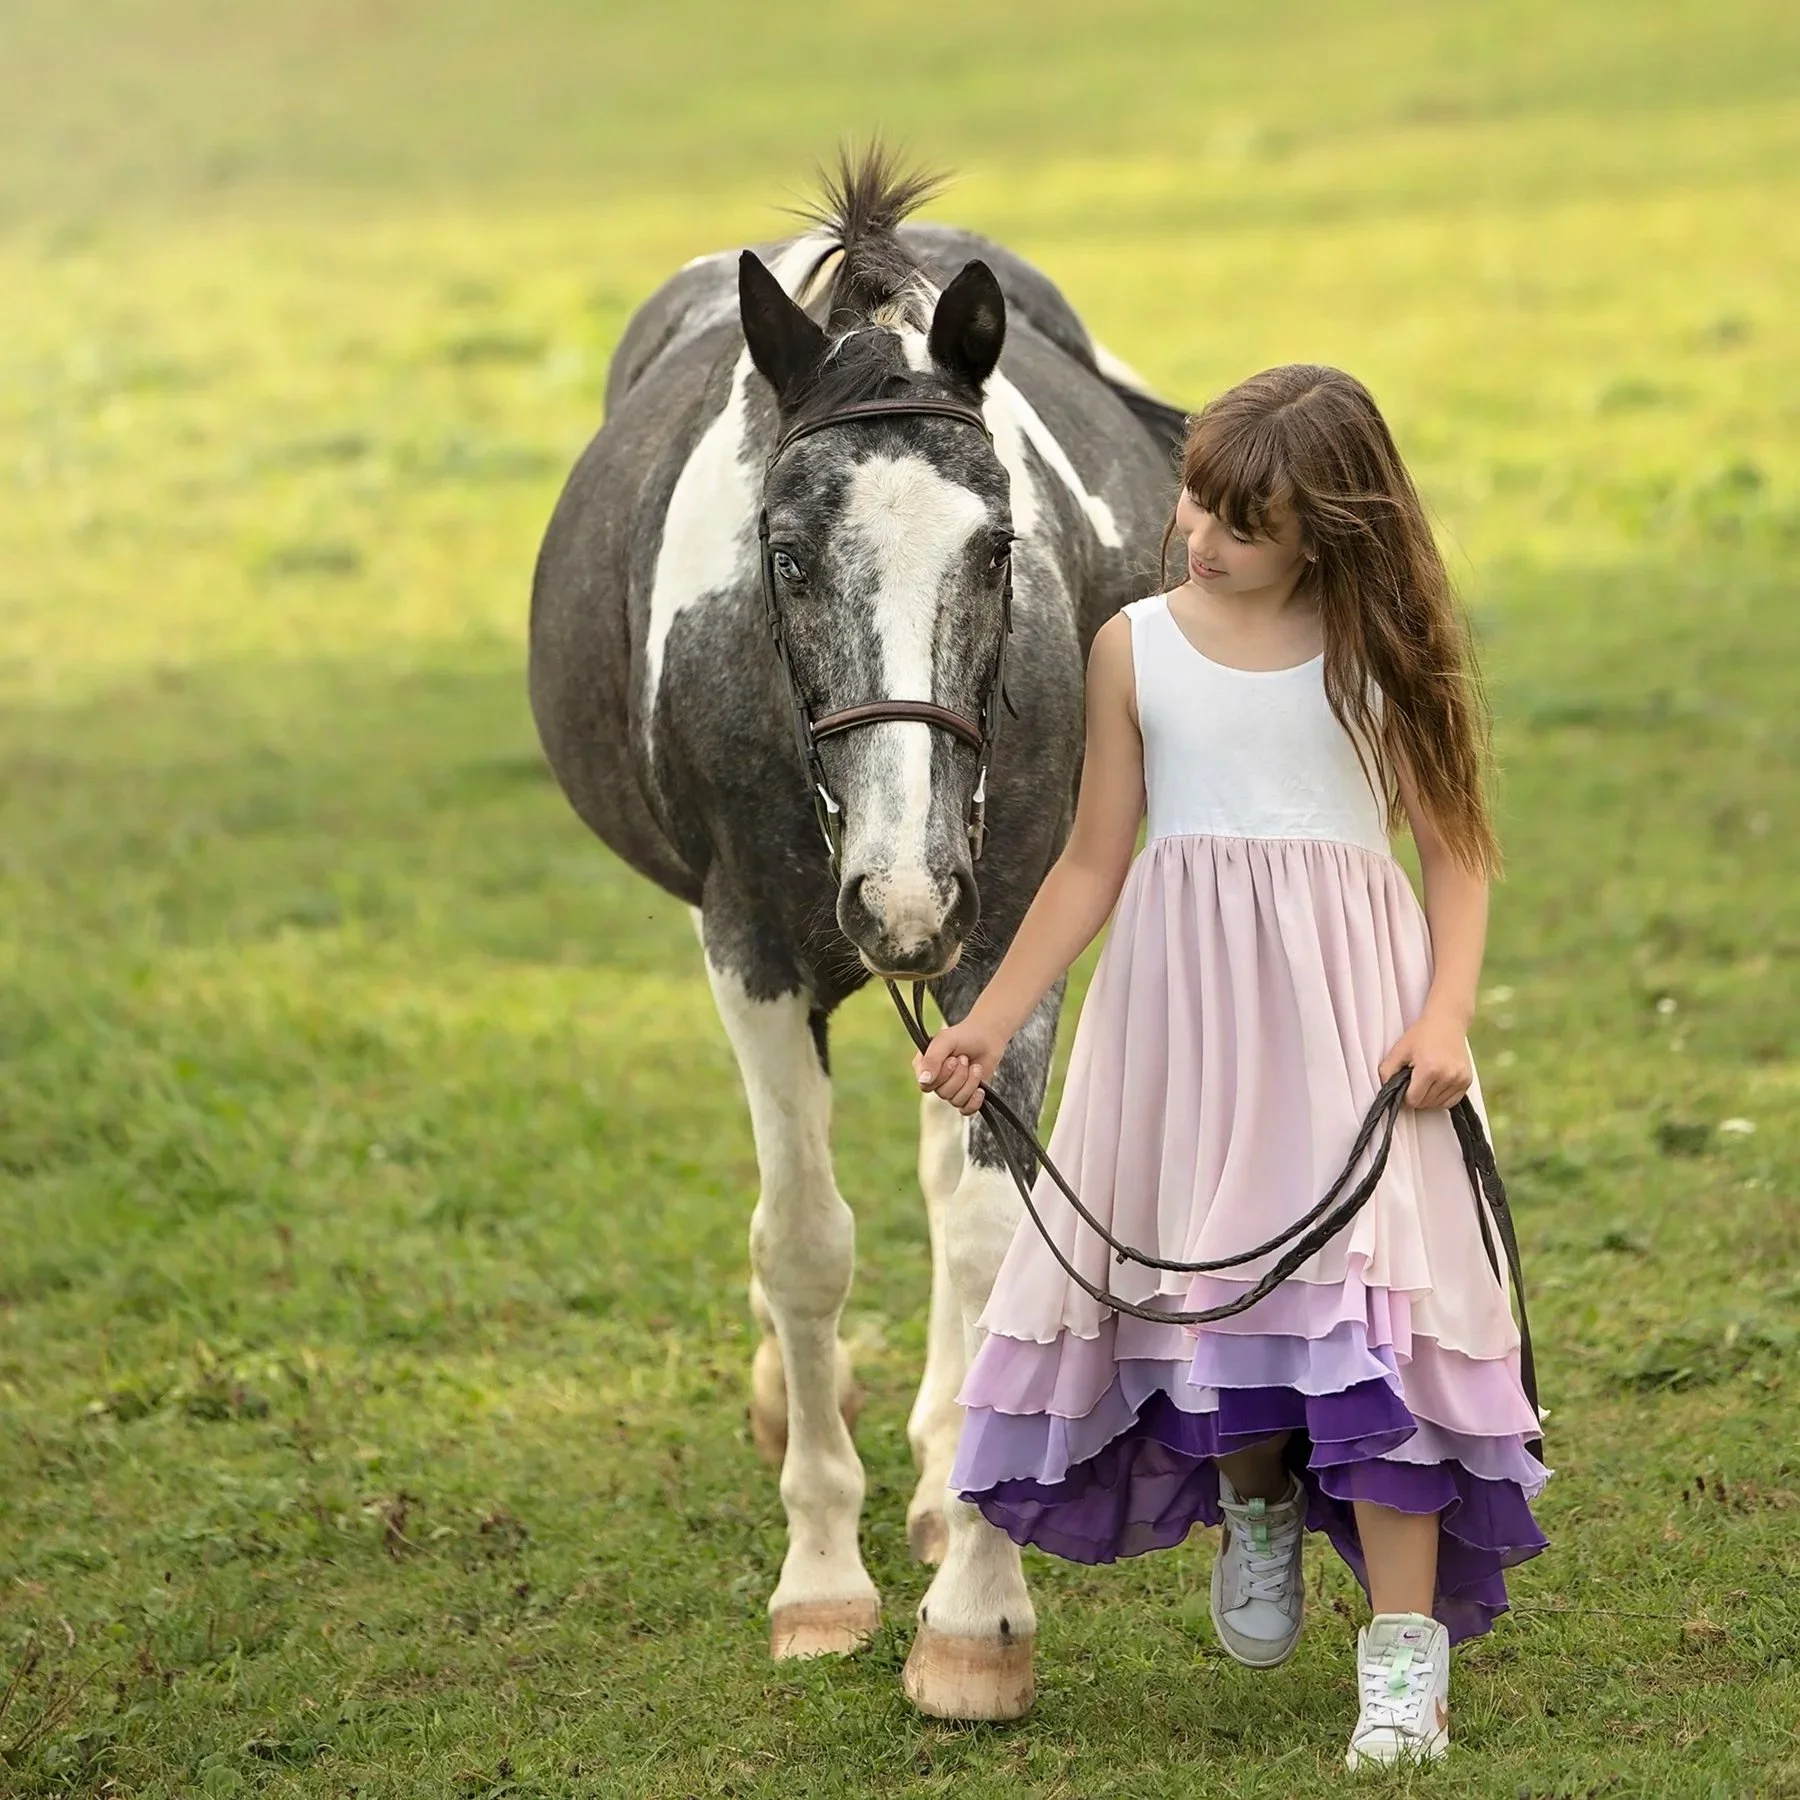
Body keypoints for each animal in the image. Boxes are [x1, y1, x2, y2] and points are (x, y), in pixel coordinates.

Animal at [528, 147, 1185, 1719]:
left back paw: (946, 1471)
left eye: (999, 547)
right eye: (782, 553)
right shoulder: (752, 948)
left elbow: (990, 1235)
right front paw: (822, 1579)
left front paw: (976, 1613)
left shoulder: (1008, 933)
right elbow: (806, 1244)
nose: (901, 893)